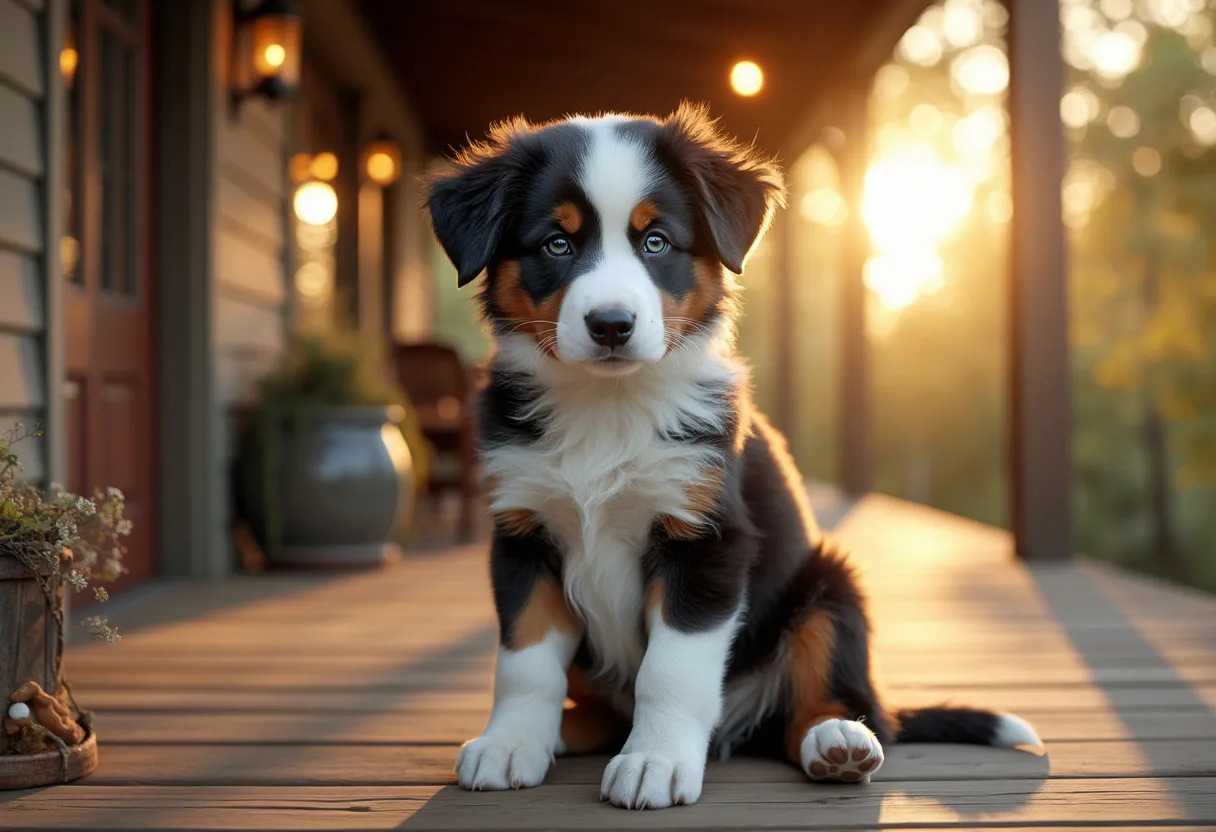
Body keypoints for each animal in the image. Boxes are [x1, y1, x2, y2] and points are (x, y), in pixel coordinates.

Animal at [423, 100, 1040, 807]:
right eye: (557, 243)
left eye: (656, 242)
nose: (611, 325)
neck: (607, 407)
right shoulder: (522, 535)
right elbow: (525, 663)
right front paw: (510, 744)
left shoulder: (709, 540)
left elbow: (672, 669)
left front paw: (656, 761)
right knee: (608, 710)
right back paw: (564, 733)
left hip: (829, 585)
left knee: (816, 706)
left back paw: (837, 743)